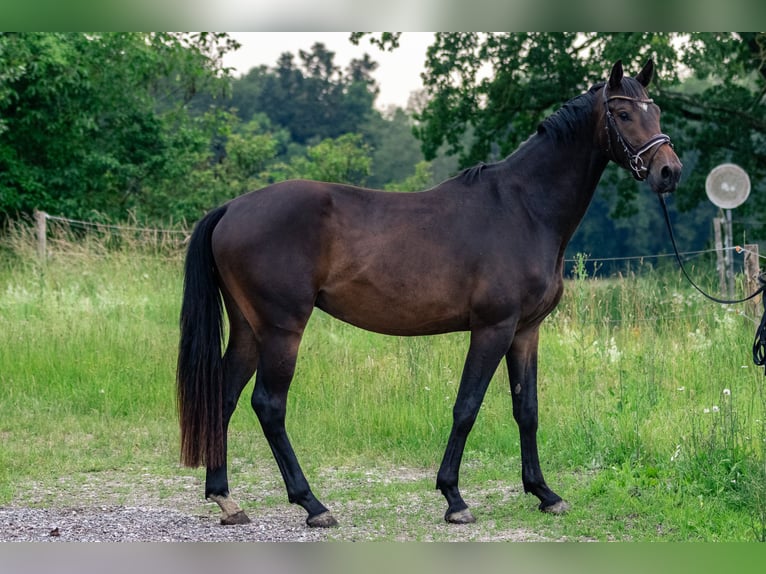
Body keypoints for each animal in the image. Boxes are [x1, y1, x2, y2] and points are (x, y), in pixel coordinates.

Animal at [178, 59, 684, 532]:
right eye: (622, 113)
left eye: (656, 110)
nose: (669, 171)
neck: (523, 209)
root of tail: (231, 208)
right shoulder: (493, 329)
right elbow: (467, 407)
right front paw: (454, 499)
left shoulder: (526, 332)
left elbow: (527, 410)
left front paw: (544, 493)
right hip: (282, 330)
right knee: (268, 405)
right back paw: (312, 505)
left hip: (250, 329)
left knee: (223, 396)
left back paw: (226, 499)